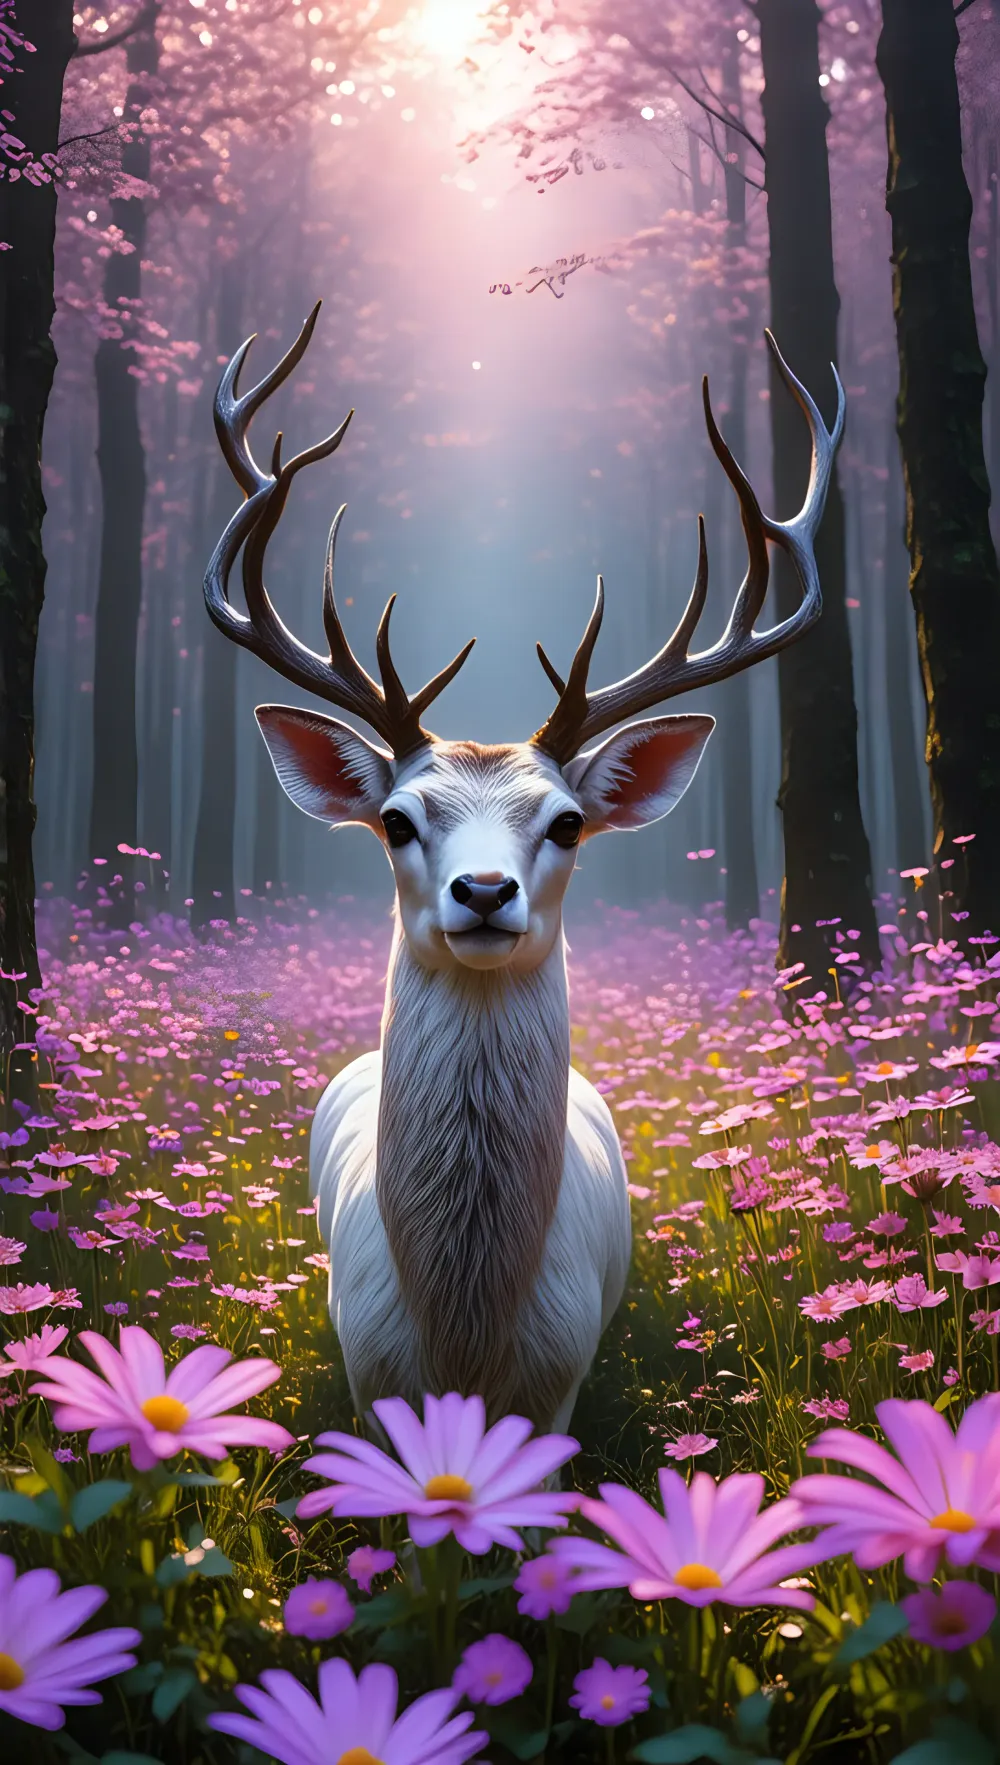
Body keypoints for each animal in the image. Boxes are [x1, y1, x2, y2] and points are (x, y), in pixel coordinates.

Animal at [204, 304, 844, 1433]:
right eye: (396, 820)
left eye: (569, 822)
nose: (485, 891)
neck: (465, 1331)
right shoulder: (368, 1375)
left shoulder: (562, 1383)